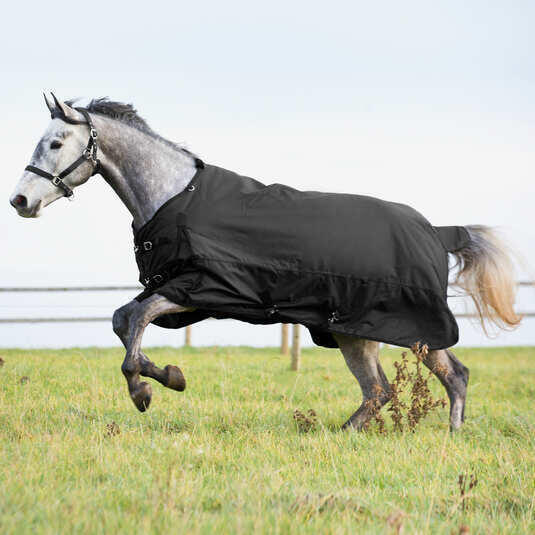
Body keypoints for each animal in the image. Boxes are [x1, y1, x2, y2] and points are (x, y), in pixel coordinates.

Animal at [7, 95, 520, 432]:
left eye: (55, 143)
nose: (20, 201)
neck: (175, 195)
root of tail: (437, 231)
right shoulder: (176, 289)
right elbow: (122, 319)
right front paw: (169, 376)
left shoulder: (198, 288)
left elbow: (136, 323)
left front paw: (146, 390)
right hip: (356, 333)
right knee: (401, 386)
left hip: (401, 327)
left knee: (429, 380)